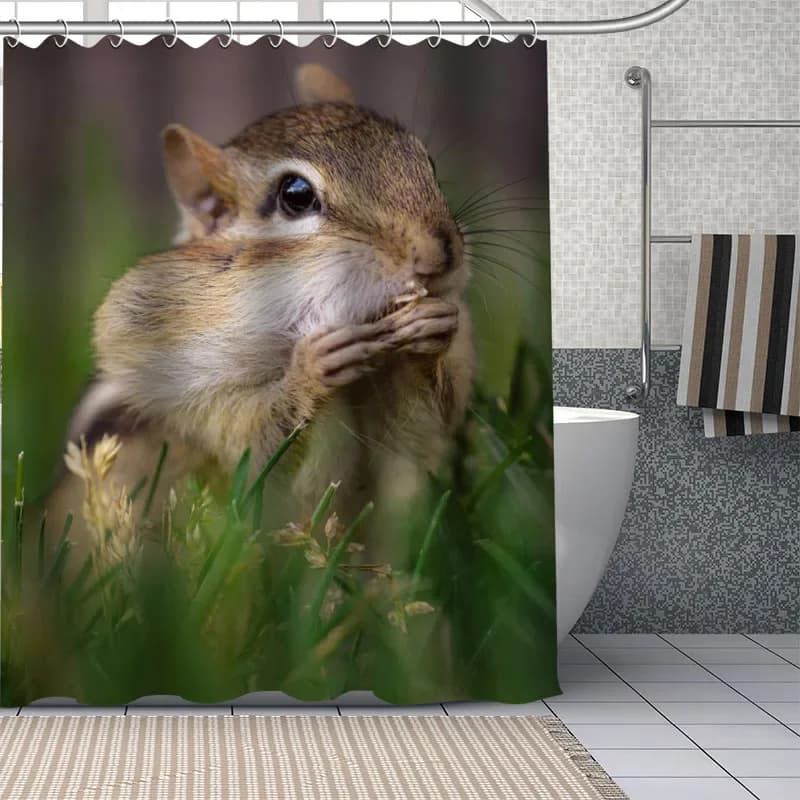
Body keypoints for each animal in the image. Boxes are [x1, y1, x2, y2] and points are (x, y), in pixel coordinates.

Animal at [42, 64, 474, 564]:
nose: (438, 257)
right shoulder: (175, 374)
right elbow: (247, 441)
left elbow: (419, 431)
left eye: (428, 162)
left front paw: (432, 331)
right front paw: (311, 369)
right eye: (296, 195)